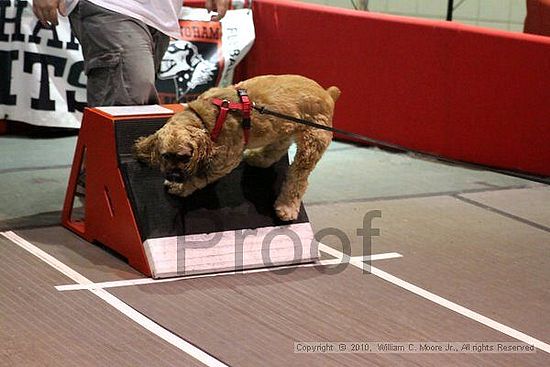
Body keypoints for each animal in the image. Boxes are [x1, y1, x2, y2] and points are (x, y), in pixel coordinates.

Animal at [135, 75, 340, 221]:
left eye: (185, 157)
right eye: (165, 156)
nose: (175, 176)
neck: (203, 117)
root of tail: (328, 94)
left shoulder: (226, 159)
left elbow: (201, 177)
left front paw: (181, 186)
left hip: (312, 144)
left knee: (298, 179)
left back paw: (286, 207)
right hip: (282, 128)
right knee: (277, 147)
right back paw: (258, 158)